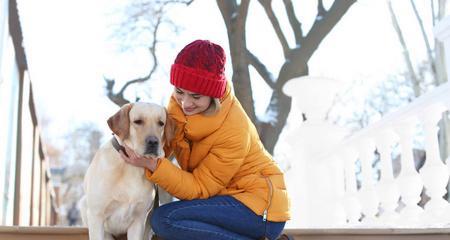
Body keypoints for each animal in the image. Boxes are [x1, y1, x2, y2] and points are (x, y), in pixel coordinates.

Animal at [80, 102, 173, 240]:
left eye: (161, 123)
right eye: (138, 121)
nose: (153, 142)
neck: (130, 167)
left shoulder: (138, 220)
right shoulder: (96, 216)